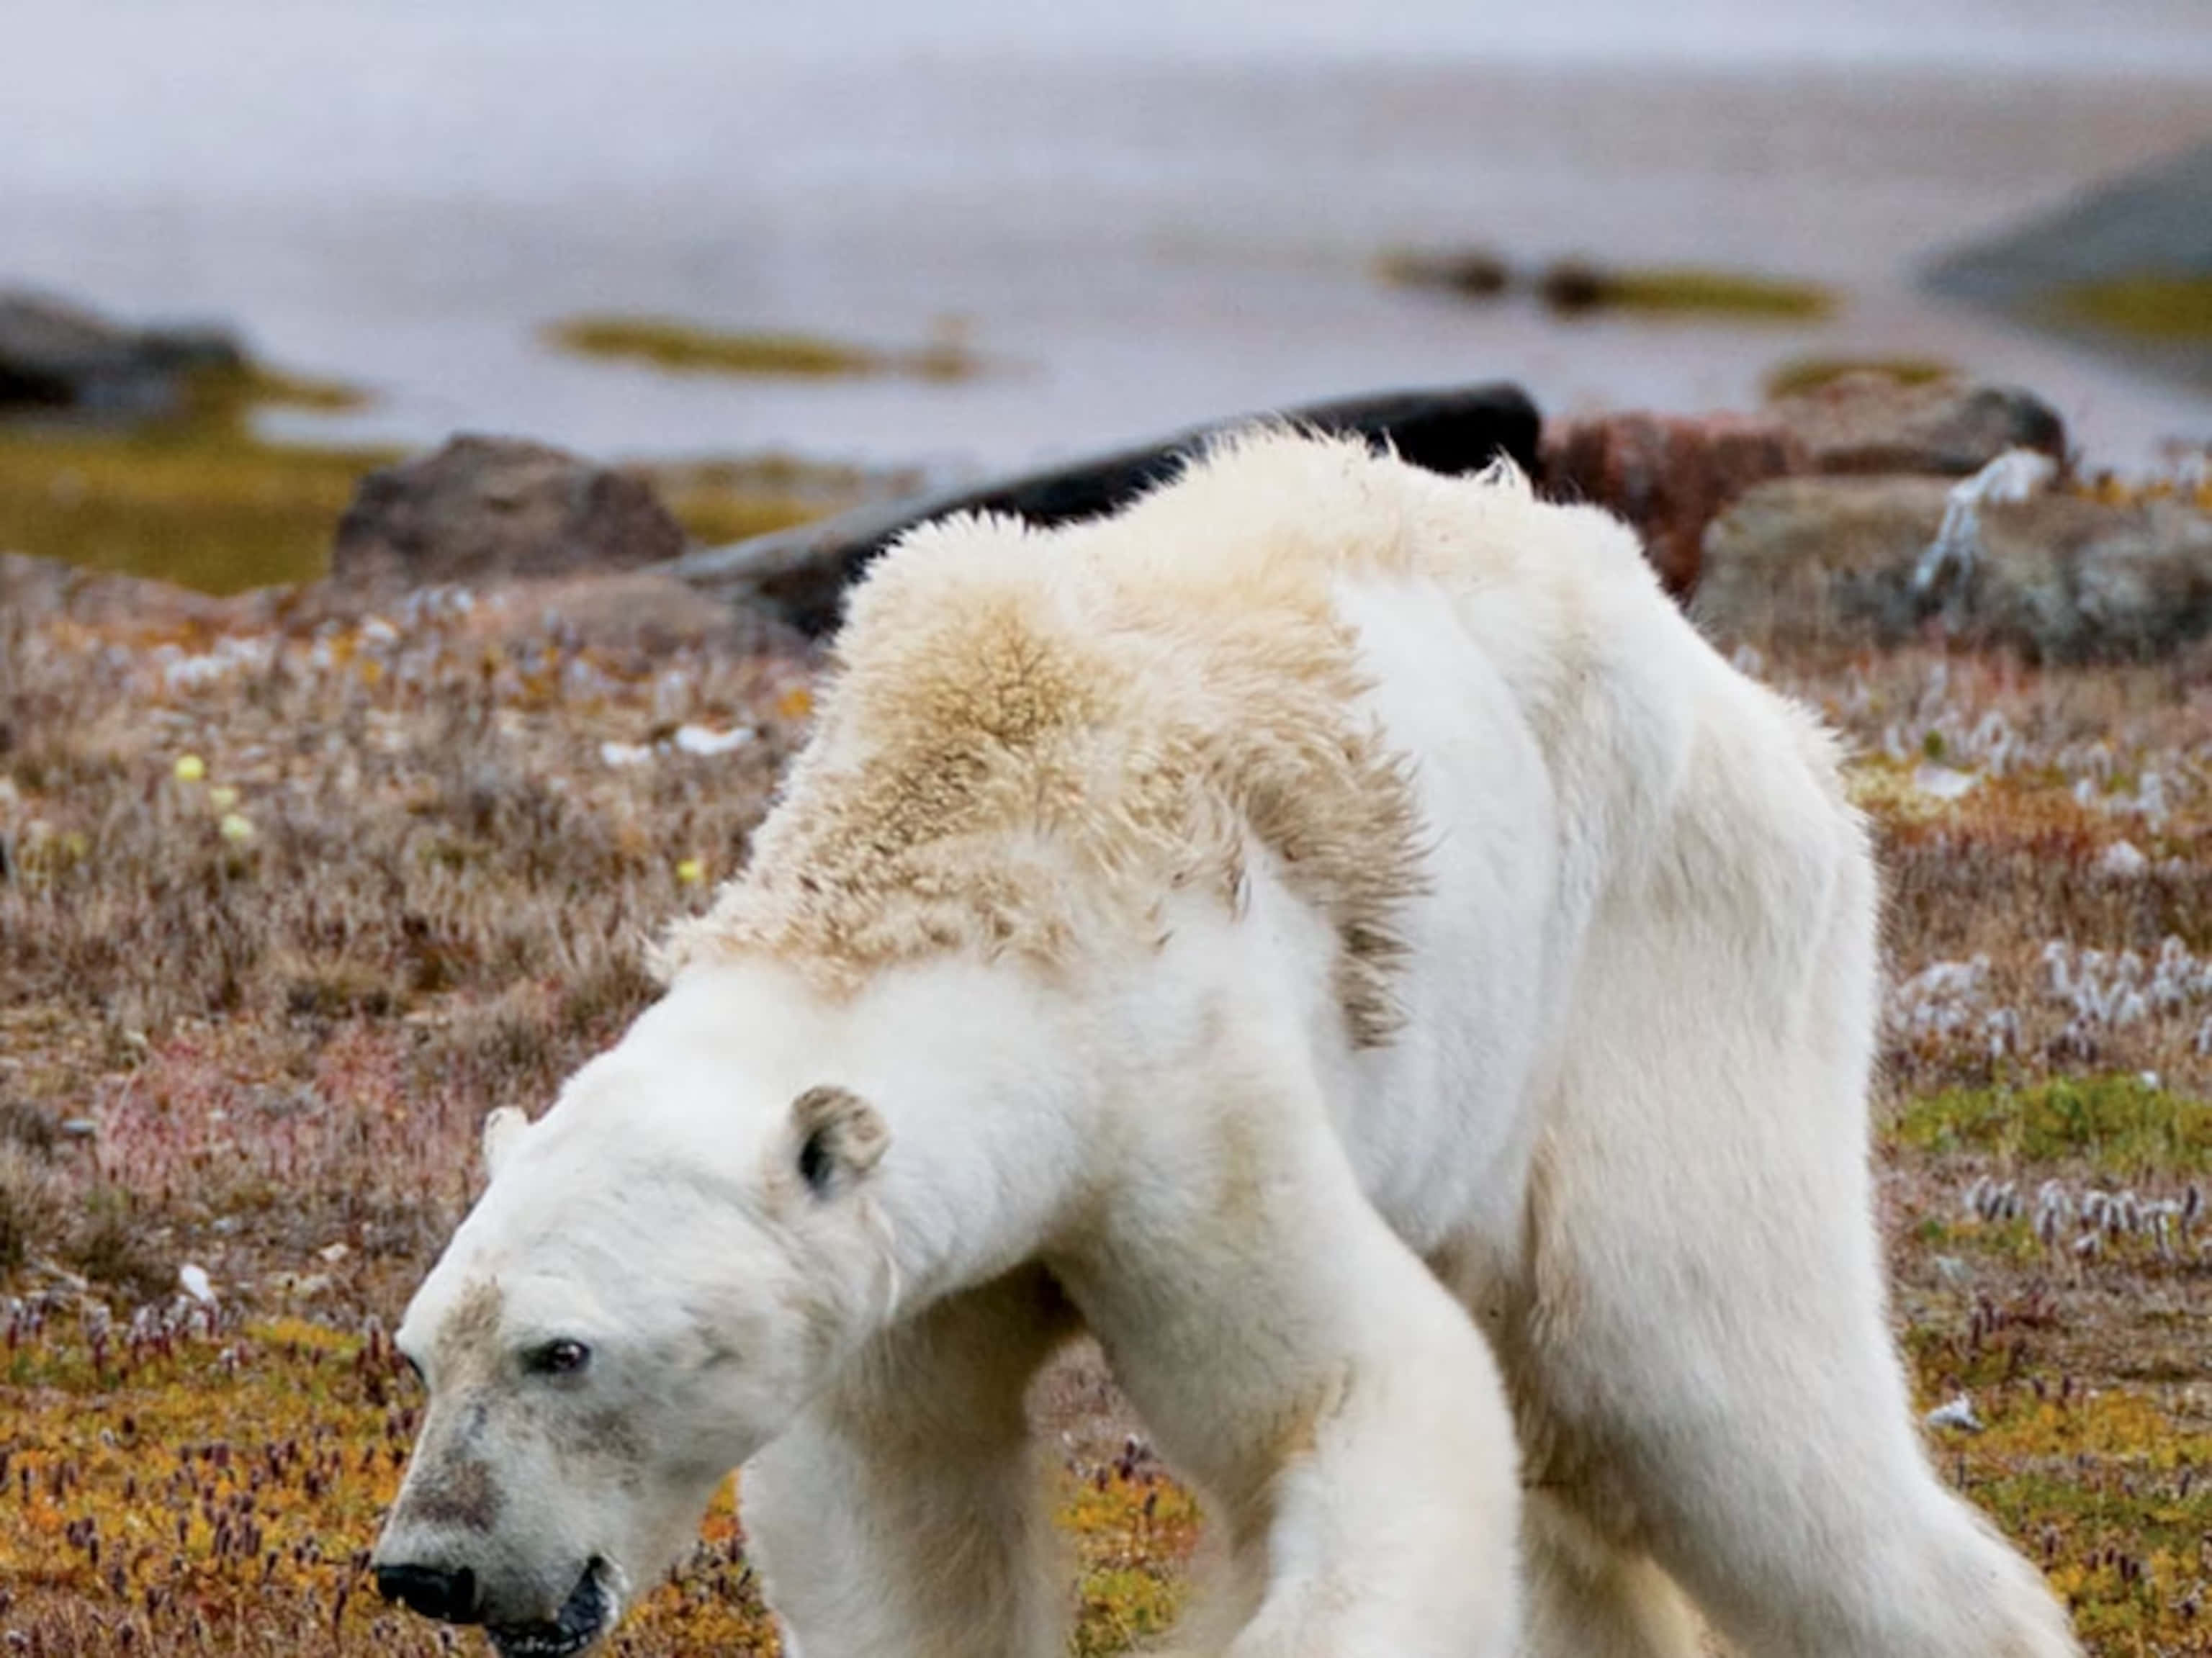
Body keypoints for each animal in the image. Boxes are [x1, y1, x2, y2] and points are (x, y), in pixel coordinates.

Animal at [372, 431, 2080, 1658]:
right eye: (422, 1343)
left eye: (564, 1347)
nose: (428, 1567)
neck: (962, 858)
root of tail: (1769, 718)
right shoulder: (914, 1252)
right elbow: (902, 1491)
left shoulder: (1179, 1102)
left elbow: (1351, 1392)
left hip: (1663, 959)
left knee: (1702, 1374)